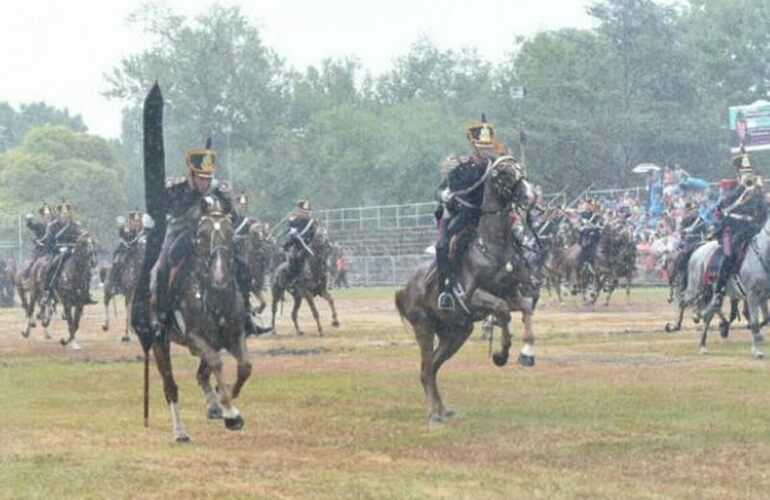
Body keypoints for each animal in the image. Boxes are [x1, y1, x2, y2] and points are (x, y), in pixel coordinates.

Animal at [152, 210, 254, 442]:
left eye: (230, 232)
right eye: (201, 235)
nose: (219, 278)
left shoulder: (236, 335)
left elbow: (245, 366)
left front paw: (228, 397)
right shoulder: (194, 338)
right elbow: (217, 363)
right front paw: (231, 413)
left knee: (201, 374)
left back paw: (213, 406)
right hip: (160, 343)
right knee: (170, 387)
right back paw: (180, 432)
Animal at [396, 155, 536, 426]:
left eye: (520, 170)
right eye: (504, 173)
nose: (530, 195)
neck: (492, 246)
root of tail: (406, 289)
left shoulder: (511, 293)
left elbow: (523, 308)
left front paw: (525, 354)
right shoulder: (473, 298)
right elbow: (503, 311)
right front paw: (500, 354)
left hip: (456, 334)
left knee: (432, 368)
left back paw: (442, 410)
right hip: (424, 328)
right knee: (426, 370)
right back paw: (434, 414)